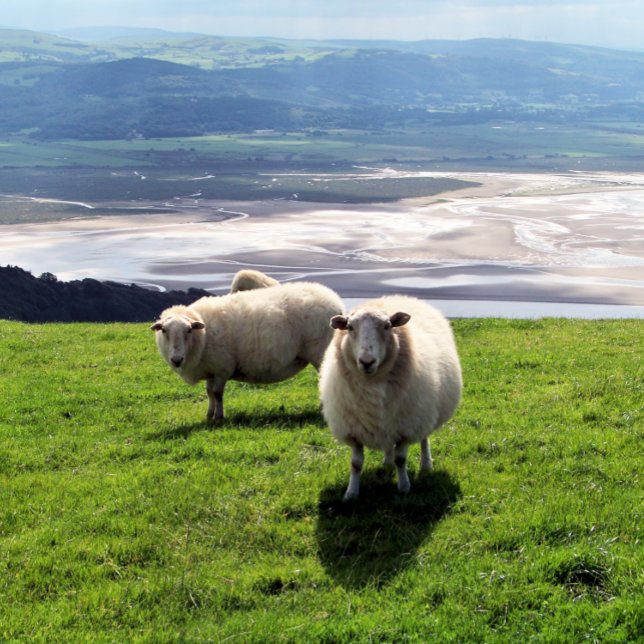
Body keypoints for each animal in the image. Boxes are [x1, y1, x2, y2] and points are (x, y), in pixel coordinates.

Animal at [151, 282, 344, 422]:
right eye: (164, 331)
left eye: (189, 330)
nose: (176, 359)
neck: (202, 336)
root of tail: (334, 300)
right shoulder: (211, 369)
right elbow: (209, 393)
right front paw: (209, 414)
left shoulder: (222, 368)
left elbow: (217, 394)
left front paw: (219, 417)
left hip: (320, 352)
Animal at [318, 295, 462, 500]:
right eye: (350, 327)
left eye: (387, 326)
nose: (367, 362)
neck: (372, 384)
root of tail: (399, 297)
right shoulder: (353, 430)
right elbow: (356, 464)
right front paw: (351, 493)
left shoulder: (406, 427)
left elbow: (401, 459)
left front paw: (404, 487)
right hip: (388, 422)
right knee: (387, 444)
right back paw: (387, 462)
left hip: (423, 413)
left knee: (424, 438)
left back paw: (426, 464)